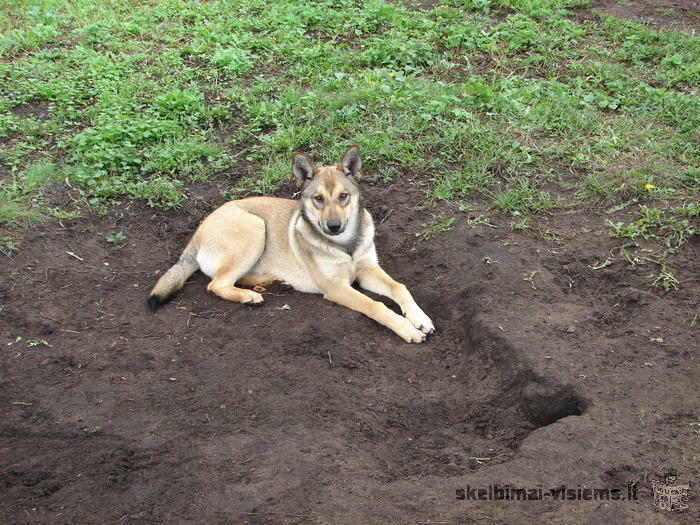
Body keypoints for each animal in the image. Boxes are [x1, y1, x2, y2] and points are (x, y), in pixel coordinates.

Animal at [147, 145, 432, 342]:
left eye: (343, 196)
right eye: (318, 198)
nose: (333, 226)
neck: (345, 245)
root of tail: (197, 233)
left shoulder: (368, 270)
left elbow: (399, 288)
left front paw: (419, 318)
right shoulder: (336, 287)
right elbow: (376, 305)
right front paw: (406, 328)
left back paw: (269, 282)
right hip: (254, 227)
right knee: (216, 284)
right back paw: (249, 296)